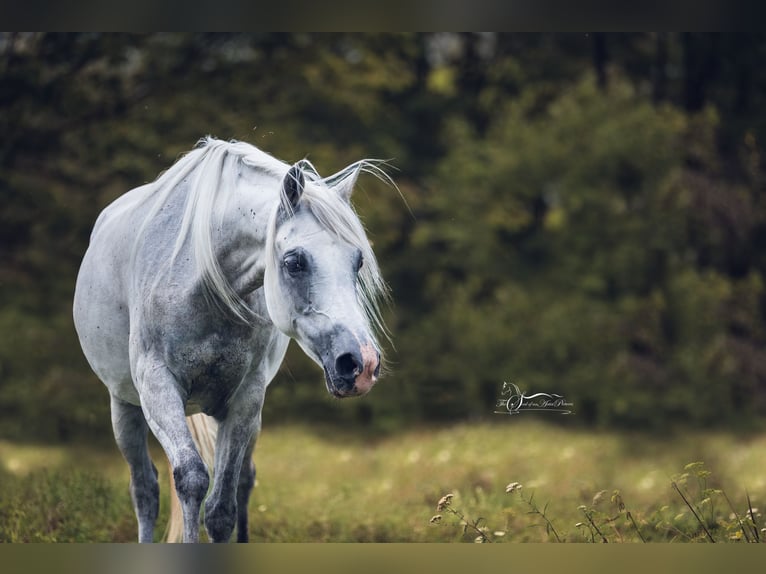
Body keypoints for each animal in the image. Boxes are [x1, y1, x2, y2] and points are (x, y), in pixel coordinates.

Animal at [73, 140, 390, 544]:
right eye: (294, 262)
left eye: (357, 261)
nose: (361, 364)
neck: (201, 277)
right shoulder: (156, 386)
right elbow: (191, 480)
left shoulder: (245, 398)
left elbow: (222, 509)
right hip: (124, 406)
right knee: (144, 490)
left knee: (243, 480)